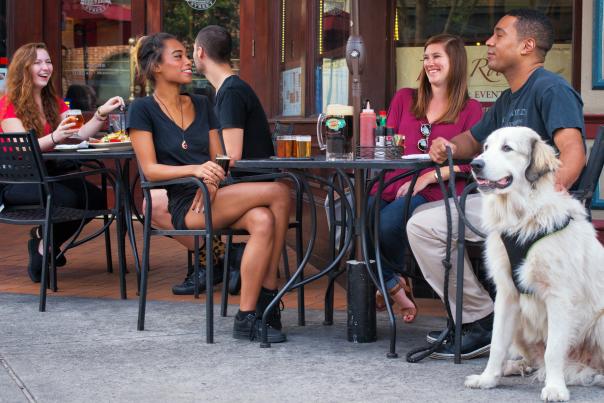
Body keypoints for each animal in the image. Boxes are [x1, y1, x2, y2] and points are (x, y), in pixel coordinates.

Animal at [462, 127, 604, 400]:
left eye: (507, 148)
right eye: (486, 148)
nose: (475, 164)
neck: (522, 218)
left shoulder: (558, 297)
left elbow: (554, 350)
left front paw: (555, 388)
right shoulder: (506, 294)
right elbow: (497, 344)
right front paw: (488, 378)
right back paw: (513, 367)